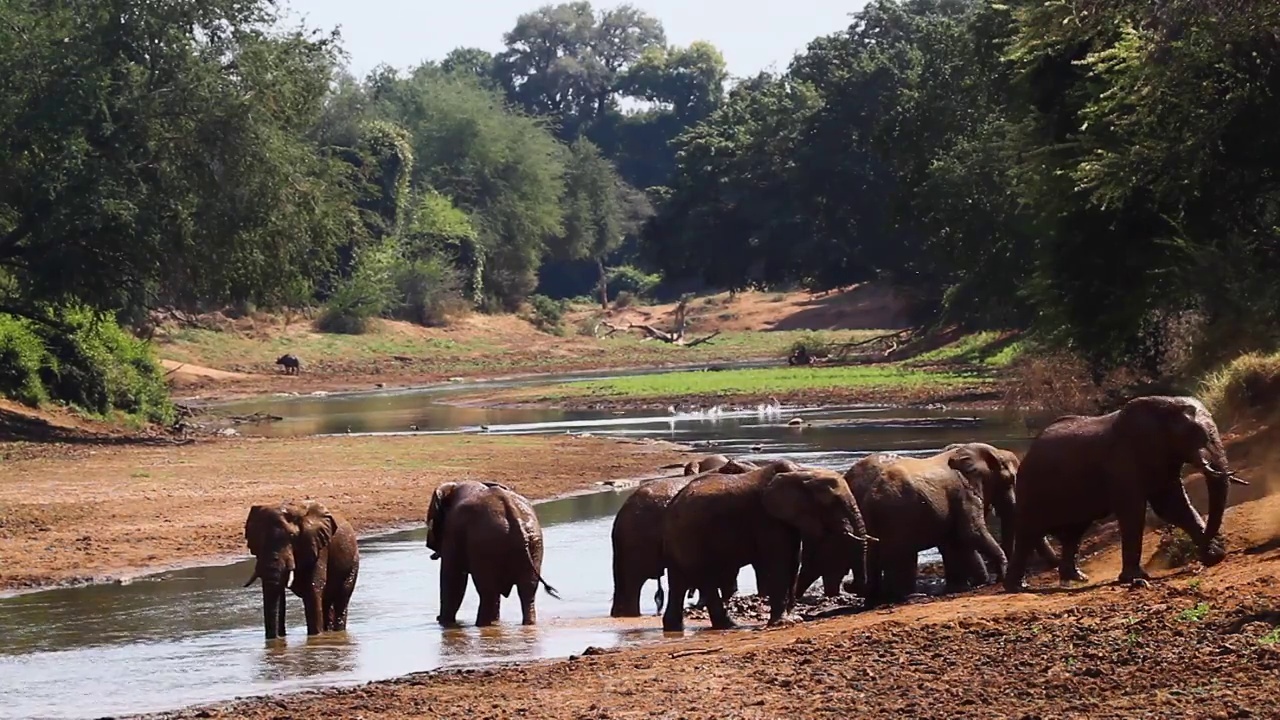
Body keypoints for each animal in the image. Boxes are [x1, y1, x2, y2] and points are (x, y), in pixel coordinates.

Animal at [243, 499, 360, 638]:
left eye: (293, 536)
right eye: (257, 539)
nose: (273, 637)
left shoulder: (318, 547)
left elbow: (312, 589)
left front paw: (316, 637)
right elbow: (278, 594)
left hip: (353, 562)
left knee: (341, 599)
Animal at [424, 479, 560, 625]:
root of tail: (514, 517)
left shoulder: (452, 530)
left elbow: (452, 578)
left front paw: (444, 622)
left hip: (487, 545)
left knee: (488, 592)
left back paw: (484, 625)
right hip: (533, 542)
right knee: (527, 590)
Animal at [660, 458, 880, 627]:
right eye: (833, 503)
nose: (850, 584)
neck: (802, 472)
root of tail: (672, 505)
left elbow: (793, 562)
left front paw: (794, 618)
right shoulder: (766, 518)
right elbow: (779, 563)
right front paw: (784, 622)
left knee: (678, 580)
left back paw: (676, 627)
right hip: (689, 536)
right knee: (705, 577)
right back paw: (730, 625)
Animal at [1003, 392, 1244, 589]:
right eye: (1196, 434)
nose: (1204, 553)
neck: (1166, 406)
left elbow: (1172, 506)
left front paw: (1214, 556)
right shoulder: (1122, 462)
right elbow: (1134, 511)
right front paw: (1136, 579)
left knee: (1075, 530)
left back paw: (1076, 578)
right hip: (1031, 486)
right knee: (1029, 531)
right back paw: (1017, 587)